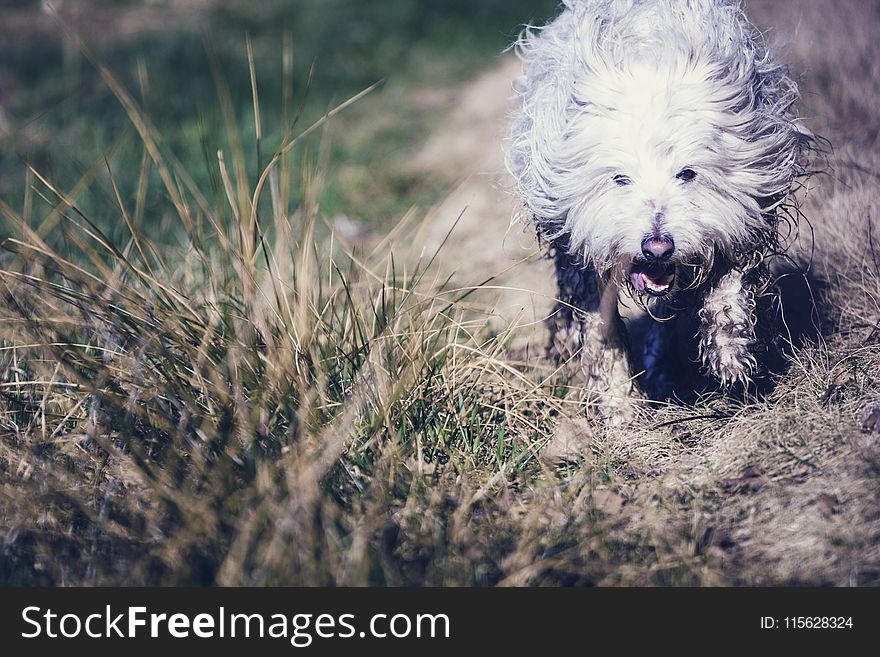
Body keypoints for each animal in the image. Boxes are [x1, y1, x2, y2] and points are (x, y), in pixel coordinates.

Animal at [506, 0, 816, 418]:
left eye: (687, 174)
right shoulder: (580, 245)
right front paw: (620, 405)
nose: (657, 247)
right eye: (620, 179)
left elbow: (729, 287)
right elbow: (601, 330)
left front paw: (729, 351)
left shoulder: (743, 209)